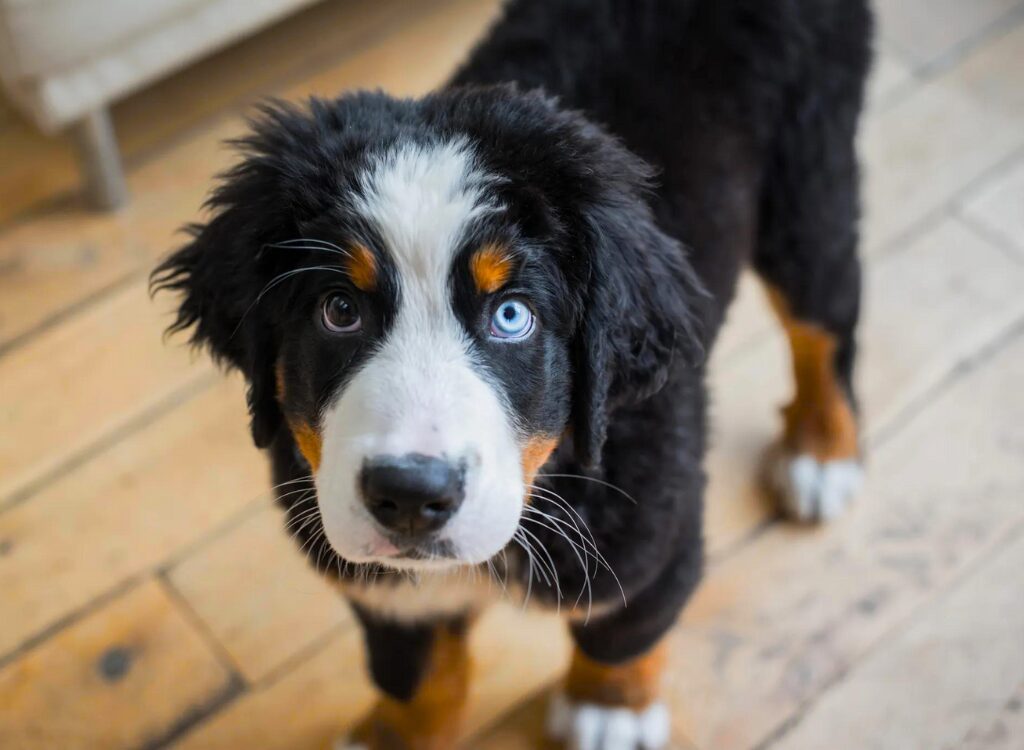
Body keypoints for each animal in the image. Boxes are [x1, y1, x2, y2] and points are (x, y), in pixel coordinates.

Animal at [151, 1, 872, 750]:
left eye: (512, 315)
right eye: (339, 310)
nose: (411, 493)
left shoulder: (654, 533)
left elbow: (626, 627)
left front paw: (610, 707)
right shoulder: (377, 582)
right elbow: (412, 671)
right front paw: (397, 734)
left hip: (808, 174)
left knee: (827, 320)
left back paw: (823, 450)